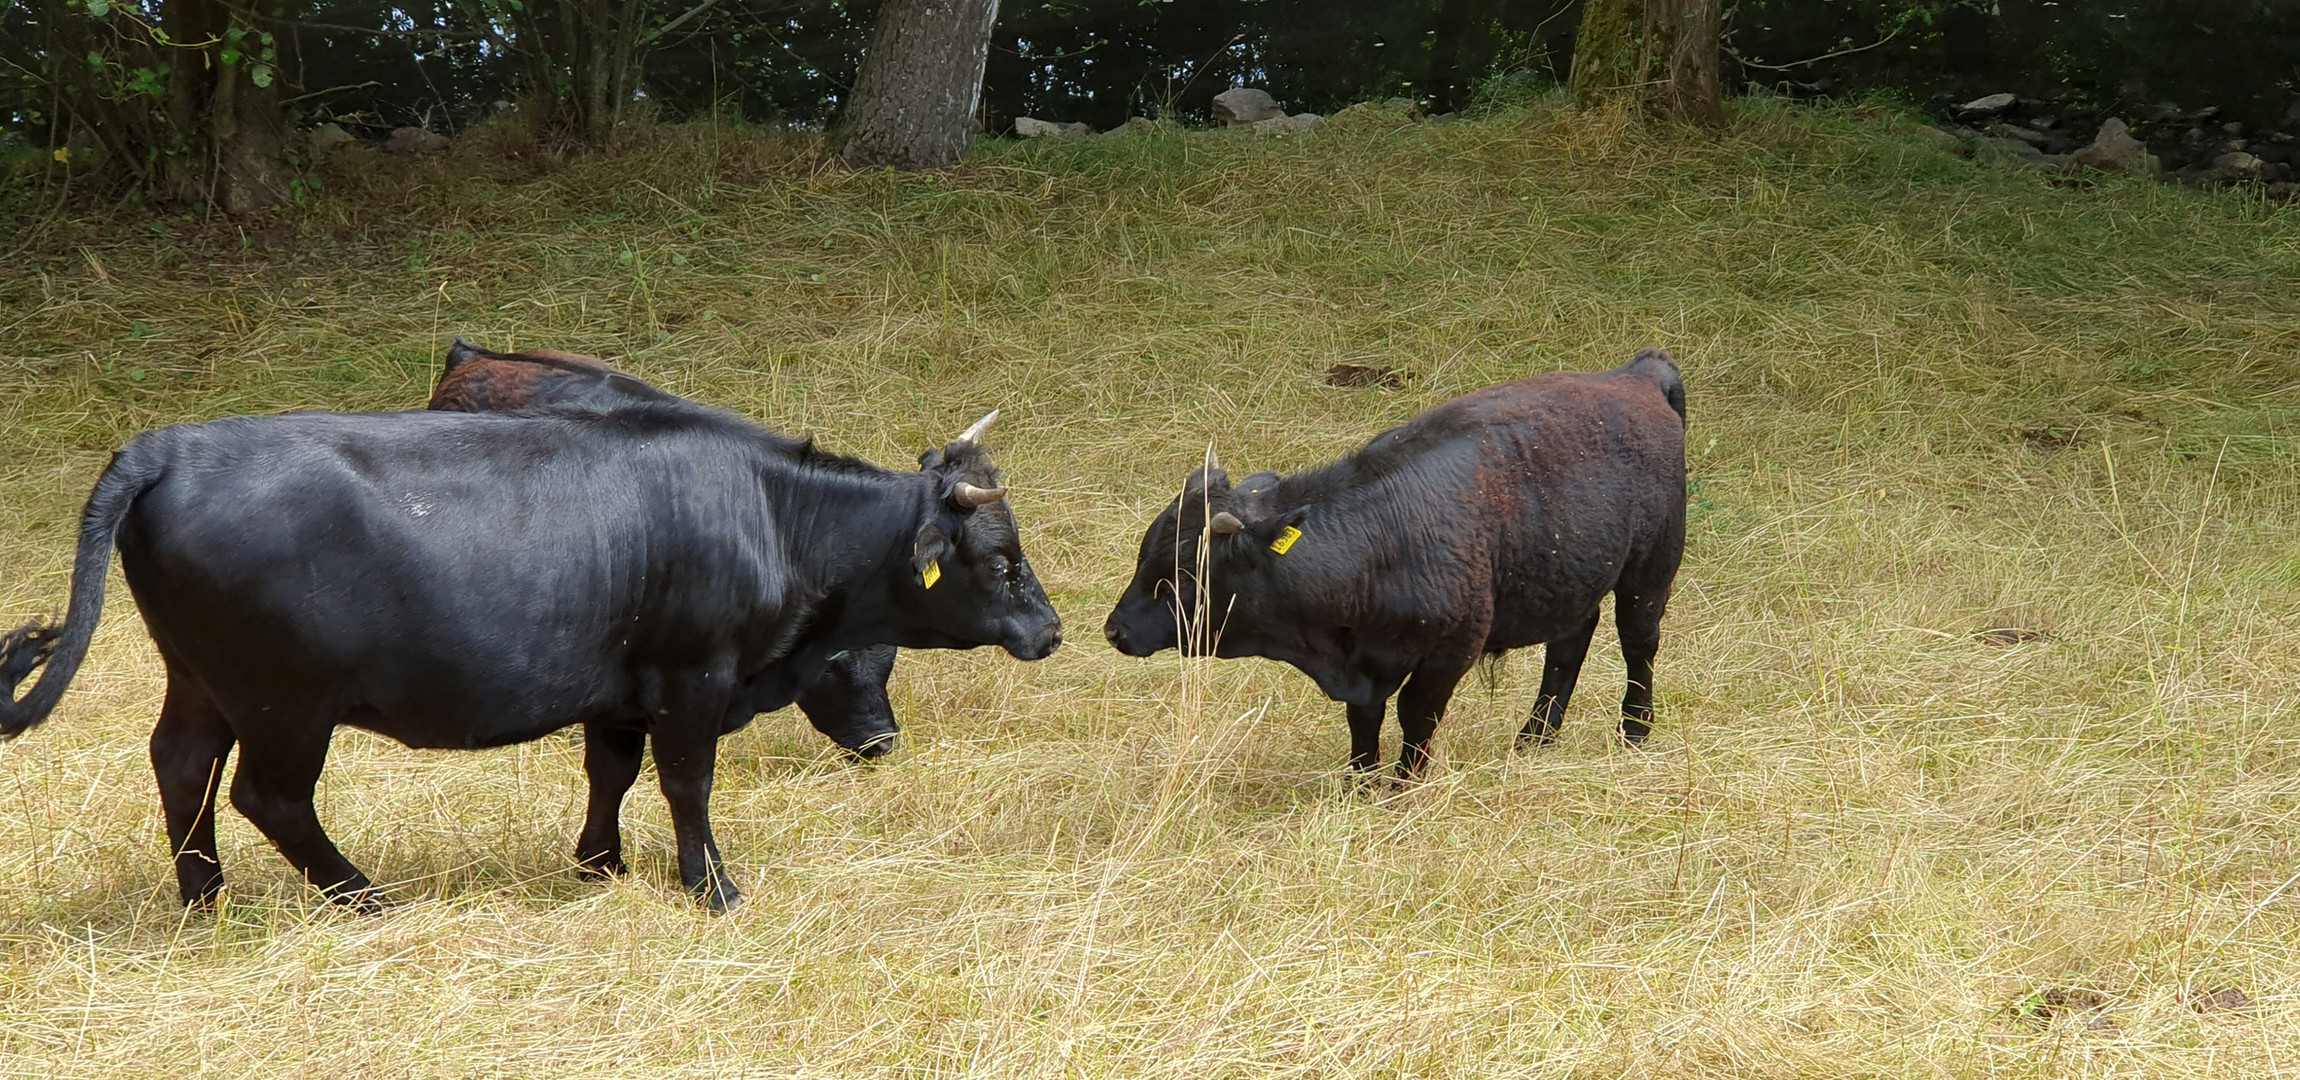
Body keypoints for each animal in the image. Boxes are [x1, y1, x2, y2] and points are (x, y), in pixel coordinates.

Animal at [0, 399, 1058, 905]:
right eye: (1002, 560)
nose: (1050, 630)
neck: (768, 512)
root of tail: (171, 445)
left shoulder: (622, 688)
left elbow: (610, 773)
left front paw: (600, 866)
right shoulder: (694, 677)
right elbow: (687, 785)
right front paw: (711, 888)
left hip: (202, 680)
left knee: (182, 766)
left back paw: (206, 901)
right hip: (284, 701)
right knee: (268, 797)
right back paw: (362, 897)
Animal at [1104, 349, 1683, 781]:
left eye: (1181, 576)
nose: (1115, 631)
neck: (1378, 546)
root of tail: (1637, 375)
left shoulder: (1449, 653)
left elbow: (1415, 717)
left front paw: (1404, 784)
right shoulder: (1363, 667)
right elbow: (1365, 722)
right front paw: (1359, 786)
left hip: (1649, 572)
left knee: (1639, 643)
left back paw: (1635, 730)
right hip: (1570, 579)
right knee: (1569, 644)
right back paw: (1536, 735)